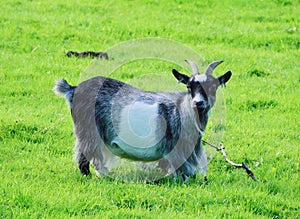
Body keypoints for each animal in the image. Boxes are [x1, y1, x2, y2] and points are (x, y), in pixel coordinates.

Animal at [53, 60, 232, 181]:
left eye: (212, 87)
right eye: (189, 86)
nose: (198, 103)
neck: (183, 111)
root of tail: (73, 89)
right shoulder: (176, 149)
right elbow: (184, 171)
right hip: (89, 131)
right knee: (86, 154)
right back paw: (99, 175)